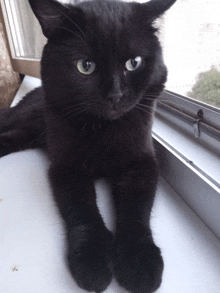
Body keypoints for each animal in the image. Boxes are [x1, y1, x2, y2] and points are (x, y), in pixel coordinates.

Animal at [0, 1, 176, 290]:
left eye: (134, 63)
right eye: (85, 66)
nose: (115, 95)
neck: (103, 128)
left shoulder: (141, 163)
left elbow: (136, 210)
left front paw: (139, 261)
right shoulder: (67, 167)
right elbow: (82, 210)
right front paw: (92, 259)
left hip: (28, 134)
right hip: (26, 118)